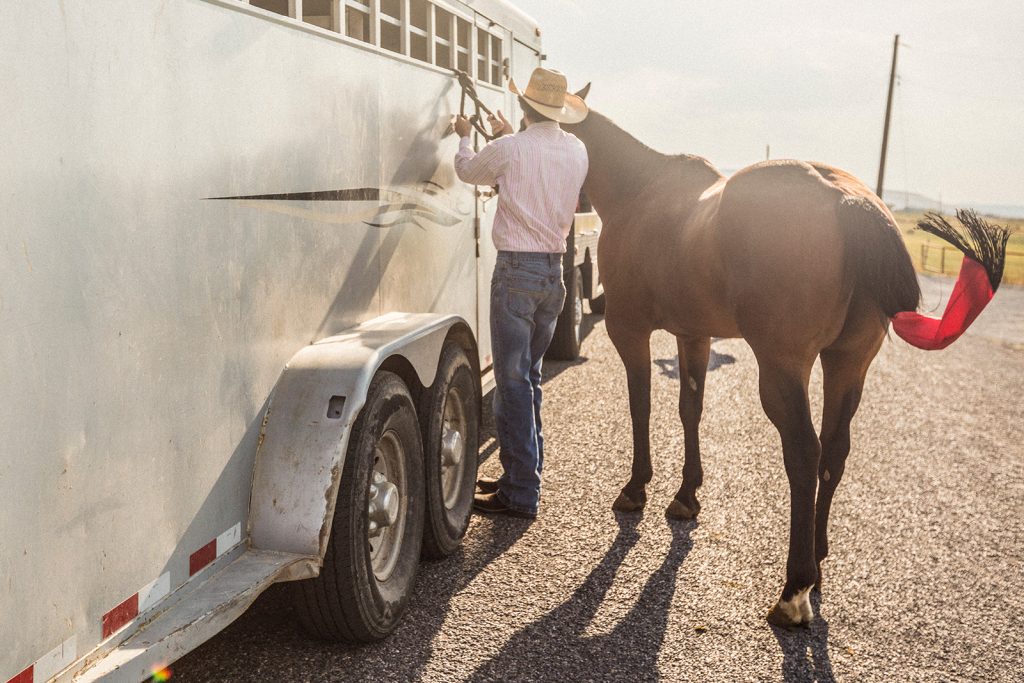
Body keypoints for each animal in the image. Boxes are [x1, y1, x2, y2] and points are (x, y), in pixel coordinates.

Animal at [562, 86, 1009, 627]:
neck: (641, 190)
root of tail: (848, 200)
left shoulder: (628, 330)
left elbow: (640, 406)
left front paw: (636, 488)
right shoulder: (694, 336)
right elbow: (690, 409)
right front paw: (687, 495)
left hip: (781, 369)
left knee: (804, 451)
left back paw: (794, 590)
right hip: (847, 365)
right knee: (834, 451)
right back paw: (816, 558)